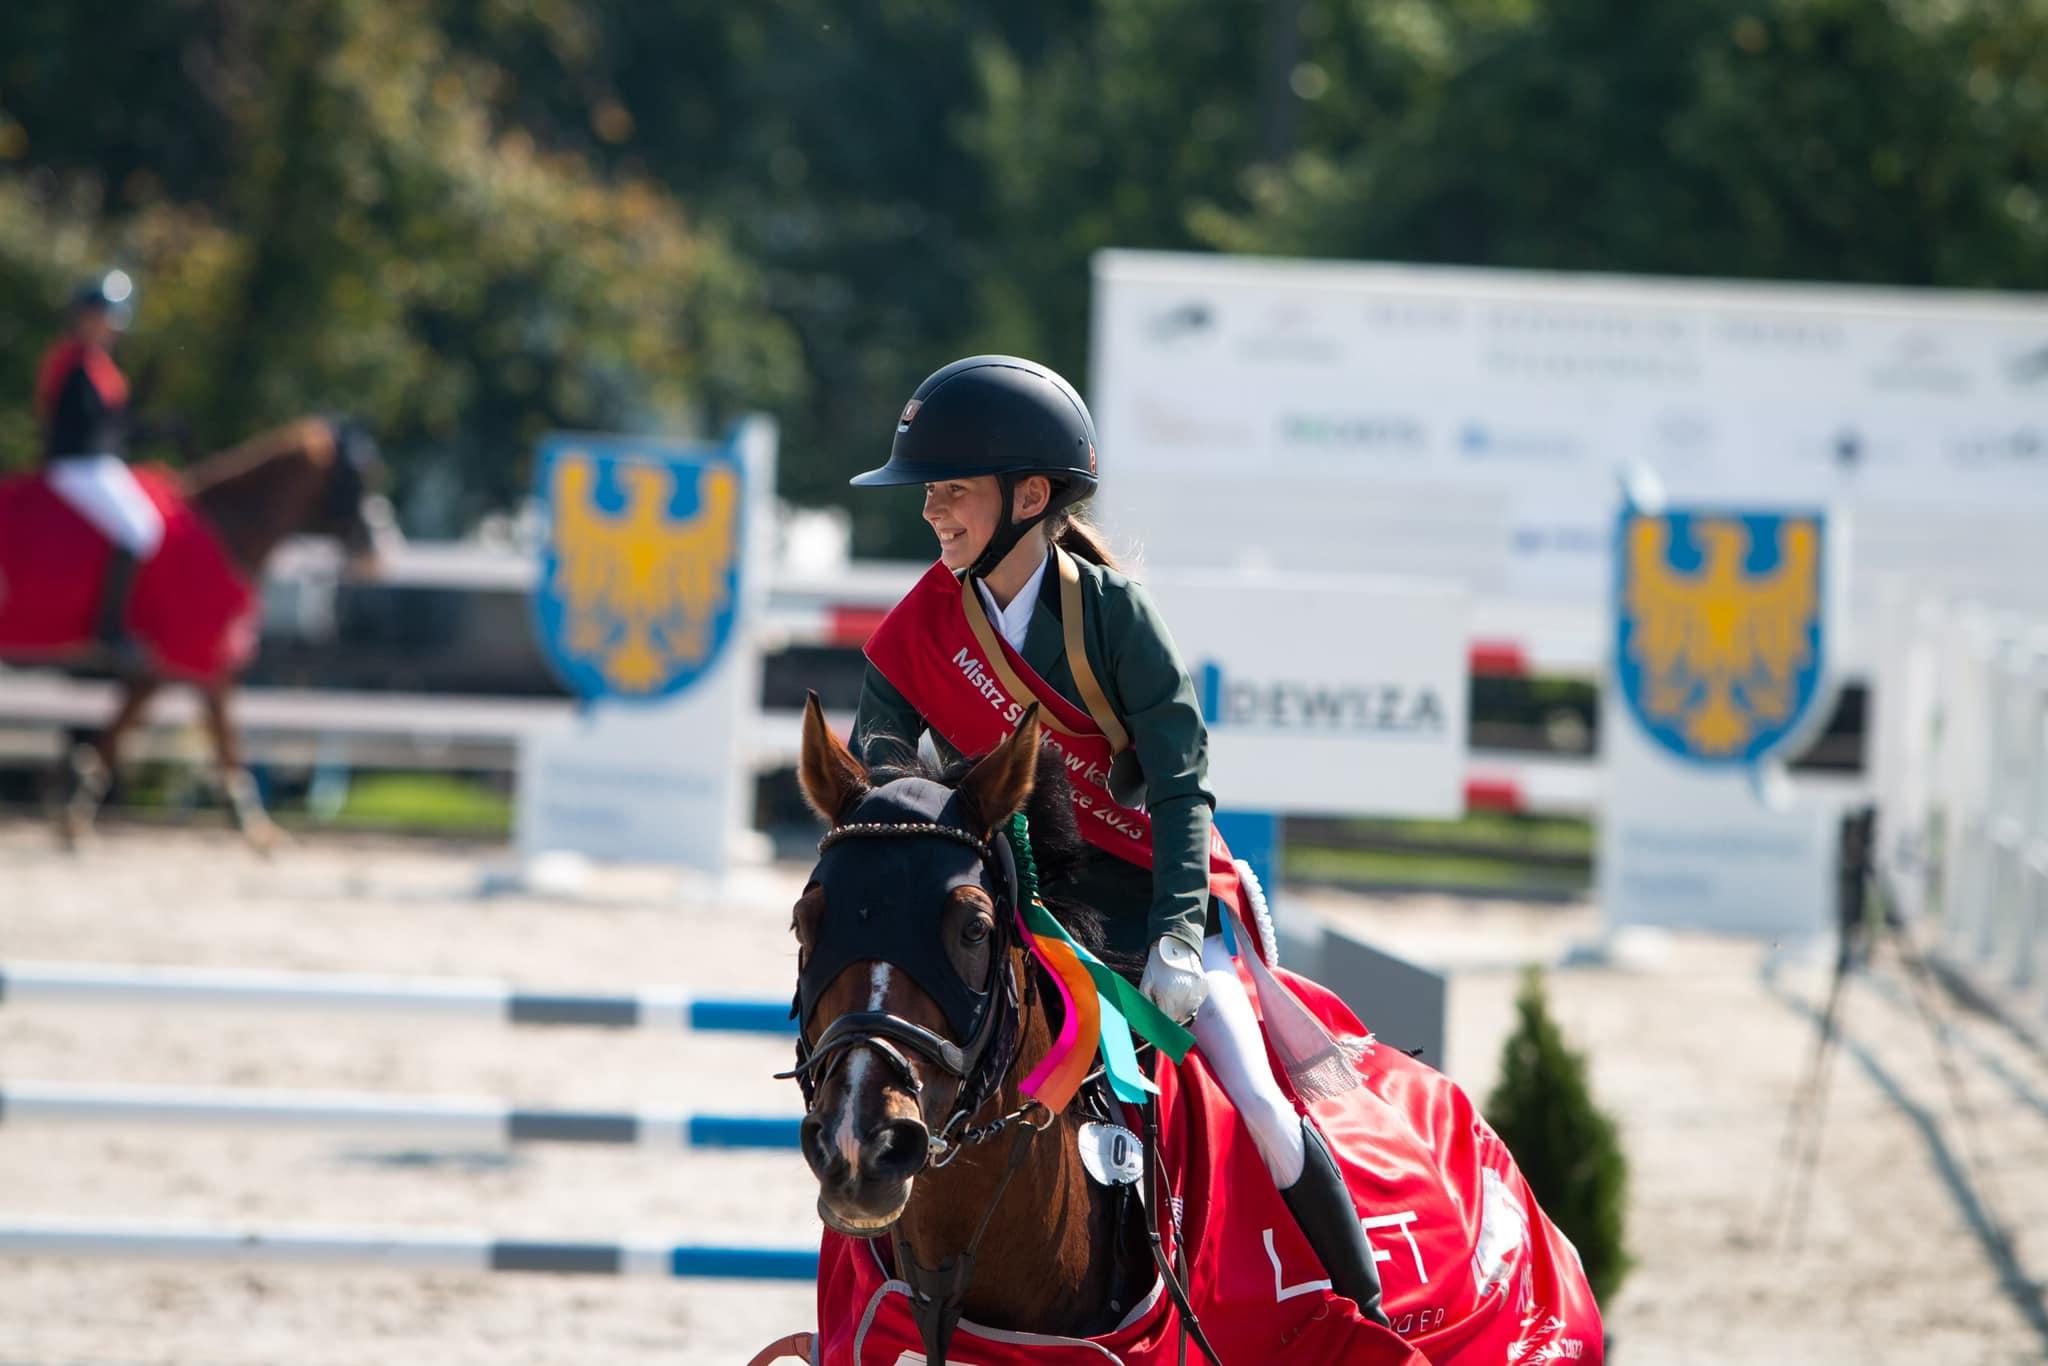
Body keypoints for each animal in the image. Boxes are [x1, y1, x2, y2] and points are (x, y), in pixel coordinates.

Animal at [19, 417, 387, 843]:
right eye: (358, 476)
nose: (378, 549)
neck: (222, 527)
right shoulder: (186, 655)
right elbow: (202, 729)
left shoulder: (185, 661)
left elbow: (197, 728)